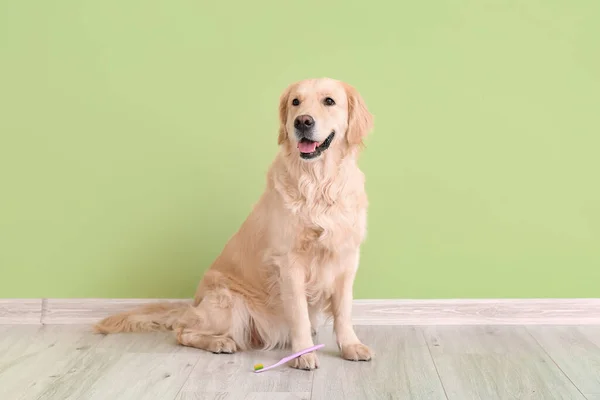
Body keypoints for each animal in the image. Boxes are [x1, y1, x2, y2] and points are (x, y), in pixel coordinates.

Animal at [95, 76, 372, 370]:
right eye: (296, 102)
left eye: (329, 101)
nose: (302, 122)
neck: (319, 184)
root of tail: (194, 302)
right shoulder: (289, 262)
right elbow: (298, 314)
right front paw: (303, 354)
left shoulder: (347, 258)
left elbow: (344, 311)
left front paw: (351, 346)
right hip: (229, 305)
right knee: (182, 331)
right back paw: (220, 343)